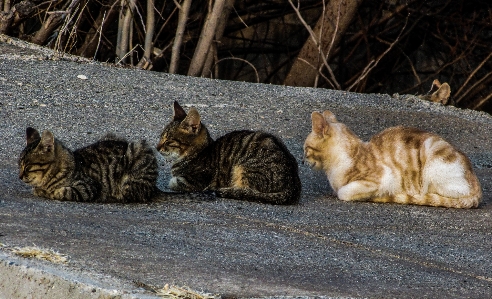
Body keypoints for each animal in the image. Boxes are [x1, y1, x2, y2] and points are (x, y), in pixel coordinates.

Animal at [18, 127, 158, 203]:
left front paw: (48, 191)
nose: (19, 176)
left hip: (137, 152)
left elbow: (62, 192)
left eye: (27, 167)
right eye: (19, 165)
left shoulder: (88, 187)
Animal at [156, 102, 302, 205]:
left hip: (244, 168)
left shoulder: (195, 181)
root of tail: (294, 184)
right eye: (160, 137)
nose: (157, 148)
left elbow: (173, 182)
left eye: (168, 140)